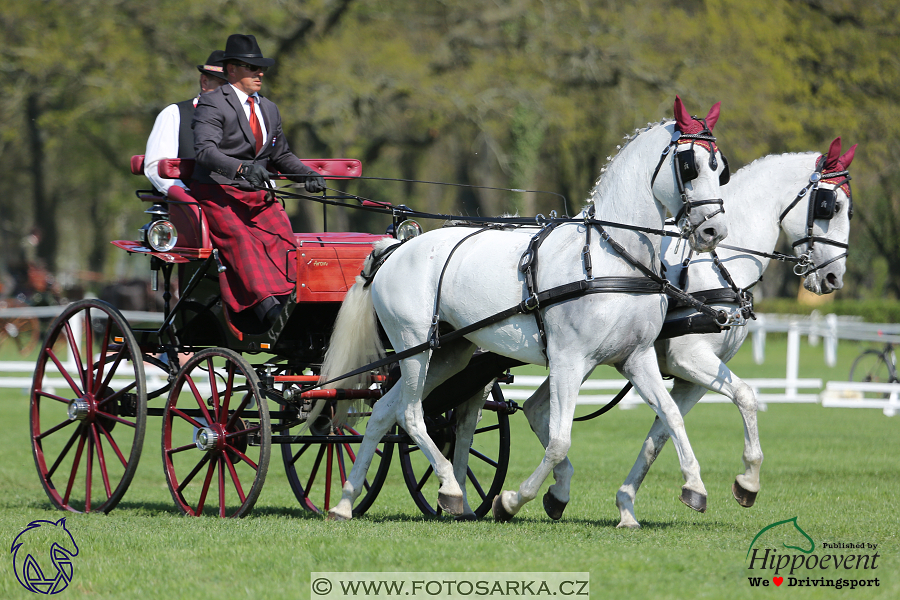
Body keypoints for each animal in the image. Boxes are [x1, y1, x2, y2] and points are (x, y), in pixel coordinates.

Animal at [324, 96, 732, 516]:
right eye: (689, 164)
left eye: (720, 168)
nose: (714, 231)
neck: (610, 256)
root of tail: (395, 248)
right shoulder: (569, 359)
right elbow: (559, 441)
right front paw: (515, 500)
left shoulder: (636, 357)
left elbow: (670, 416)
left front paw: (694, 486)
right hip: (413, 348)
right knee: (410, 413)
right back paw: (450, 489)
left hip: (449, 353)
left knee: (383, 412)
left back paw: (346, 501)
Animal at [502, 138, 856, 528]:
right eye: (832, 206)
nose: (834, 278)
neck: (717, 264)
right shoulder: (688, 359)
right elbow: (745, 396)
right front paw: (747, 481)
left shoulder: (688, 378)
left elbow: (659, 435)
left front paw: (629, 503)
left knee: (536, 408)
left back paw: (555, 493)